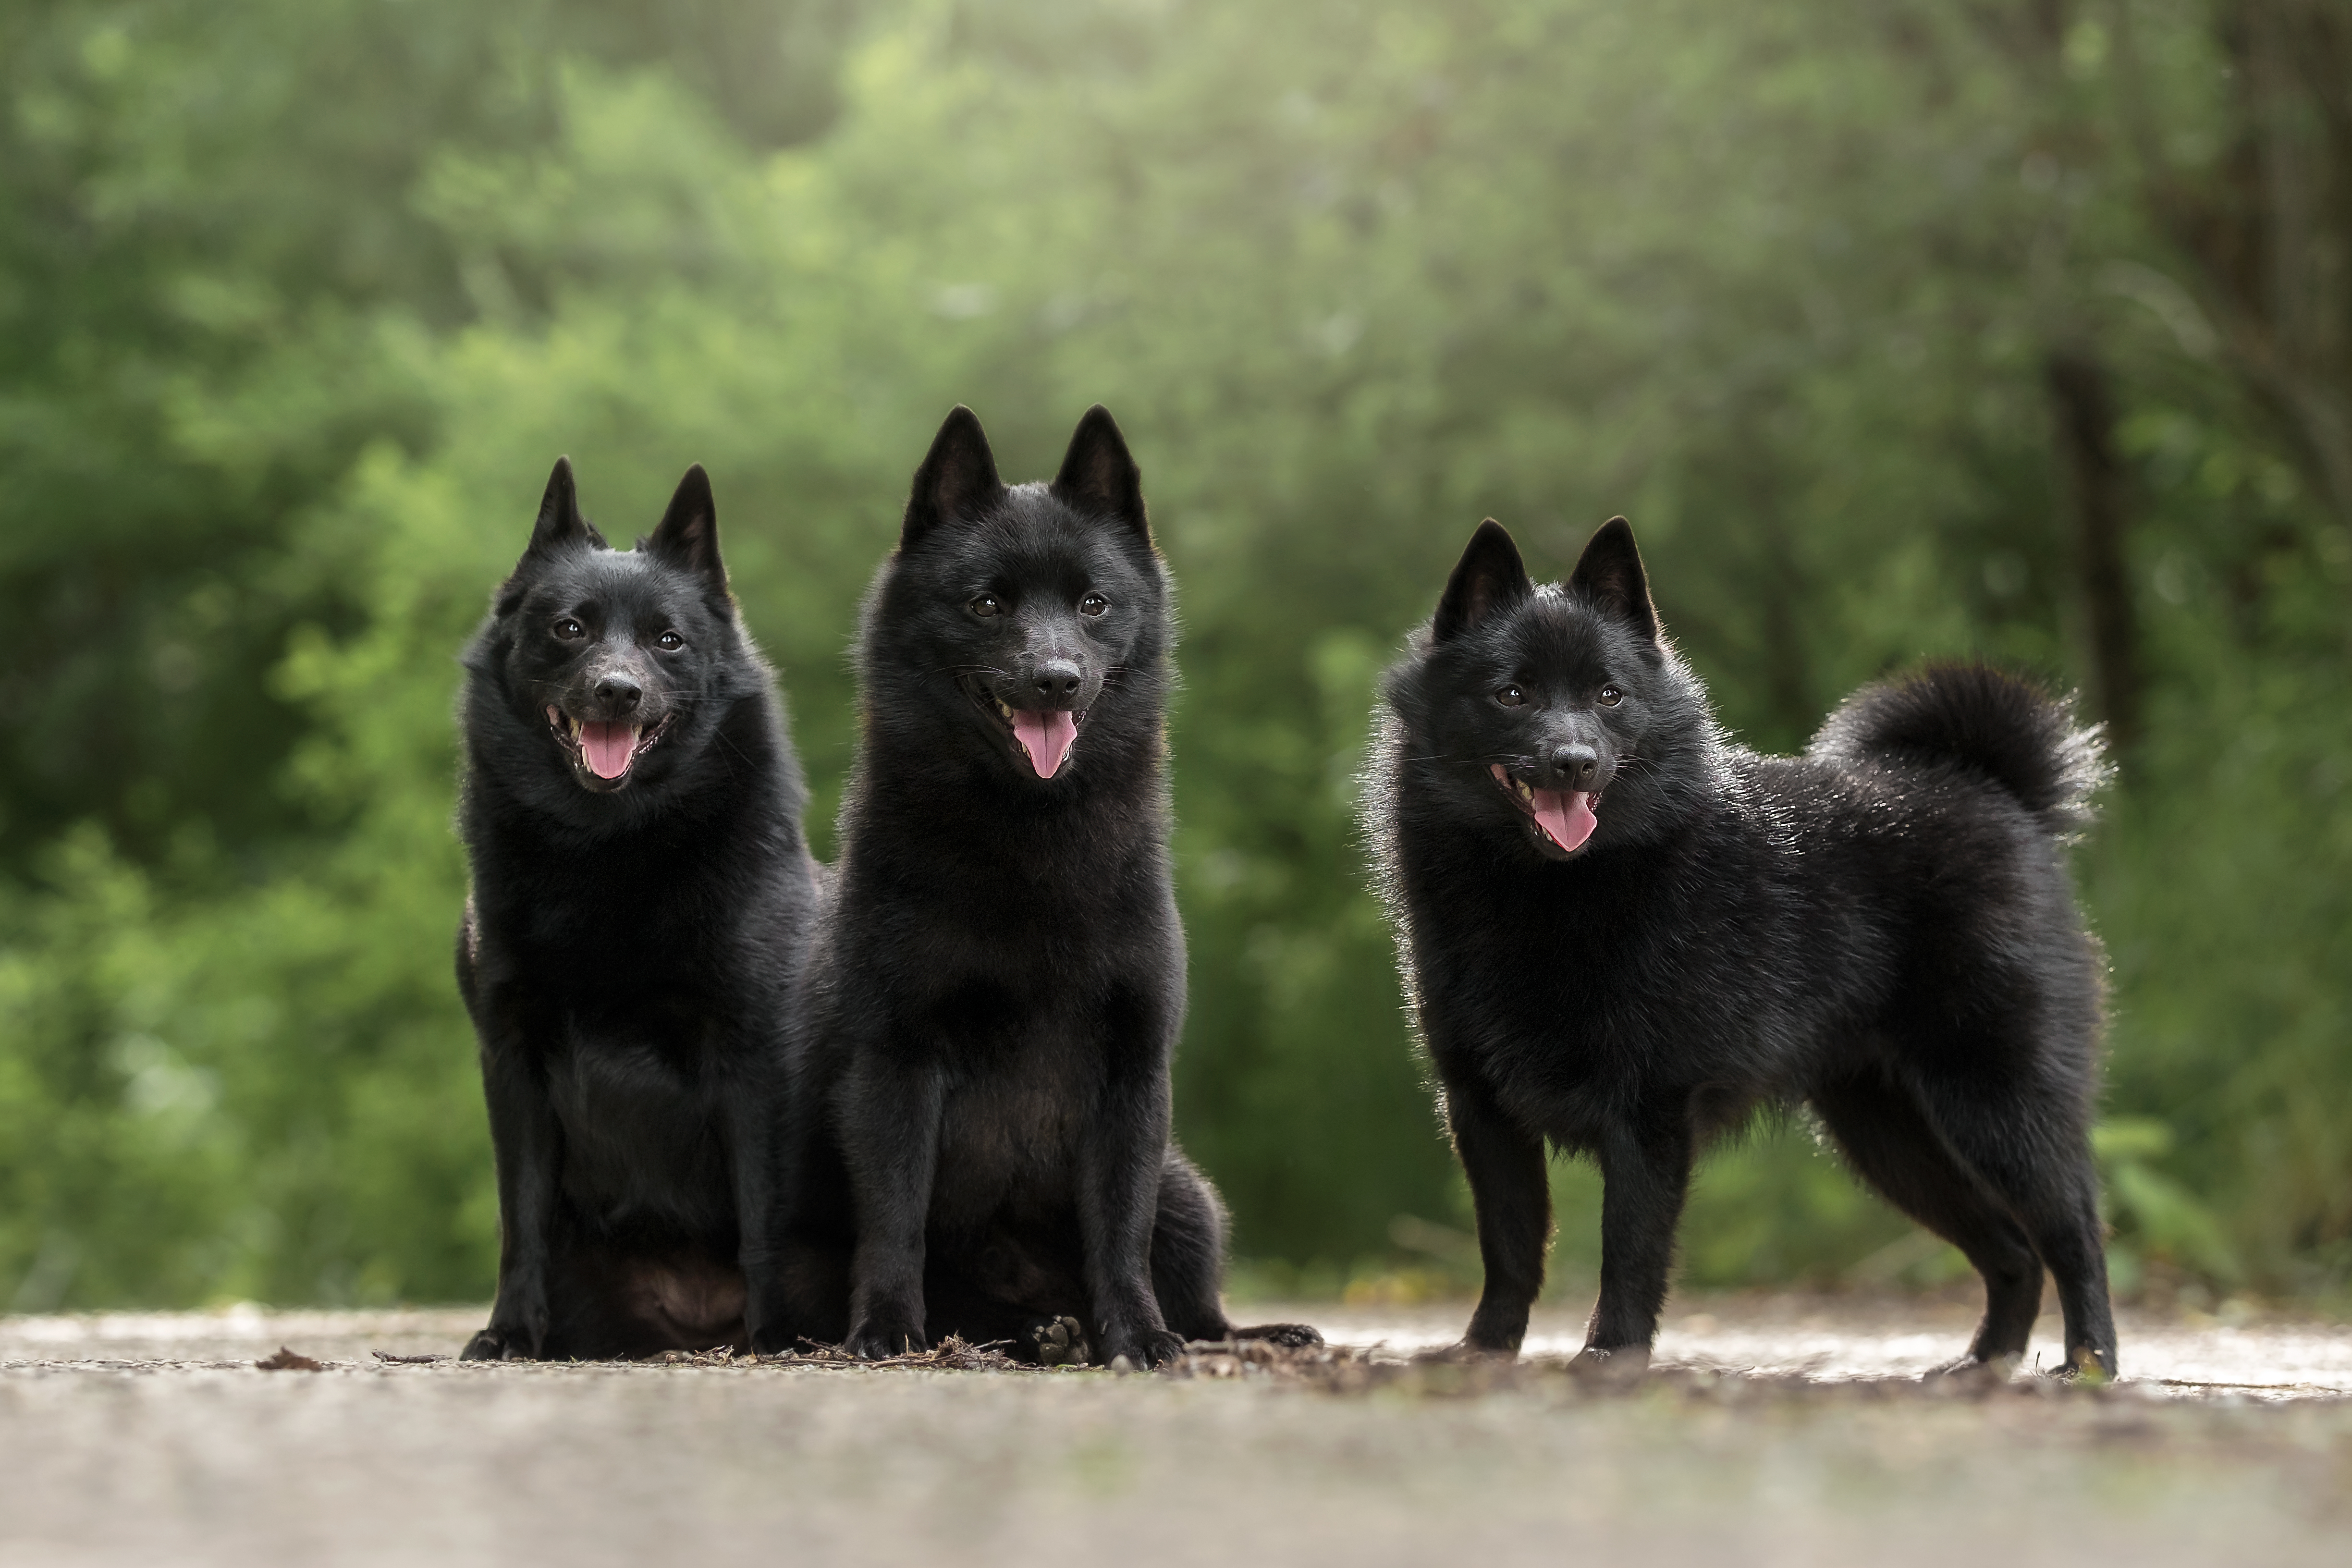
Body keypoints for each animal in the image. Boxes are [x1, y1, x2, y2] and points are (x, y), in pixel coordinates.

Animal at [452, 456, 818, 1363]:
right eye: (570, 628)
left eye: (668, 640)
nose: (616, 693)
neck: (609, 849)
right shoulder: (511, 1059)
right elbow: (520, 1220)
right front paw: (510, 1331)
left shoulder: (755, 1058)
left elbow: (764, 1215)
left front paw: (776, 1336)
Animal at [771, 411, 1326, 1363]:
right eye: (988, 604)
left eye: (1093, 603)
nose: (1056, 678)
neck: (1031, 843)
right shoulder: (896, 1062)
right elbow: (896, 1220)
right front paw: (887, 1328)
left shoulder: (1133, 1075)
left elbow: (1120, 1231)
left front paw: (1136, 1335)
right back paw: (1034, 1333)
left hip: (1186, 1192)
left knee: (1201, 1303)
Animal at [1364, 514, 2117, 1372]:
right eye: (1512, 693)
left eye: (1609, 694)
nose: (1574, 761)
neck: (1552, 892)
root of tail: (1994, 790)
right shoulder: (1481, 1110)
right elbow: (1511, 1248)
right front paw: (1485, 1351)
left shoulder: (1648, 1112)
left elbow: (1629, 1251)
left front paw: (1611, 1356)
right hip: (1888, 1136)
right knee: (2012, 1252)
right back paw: (1984, 1365)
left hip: (1998, 1103)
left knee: (2074, 1231)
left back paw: (2090, 1366)